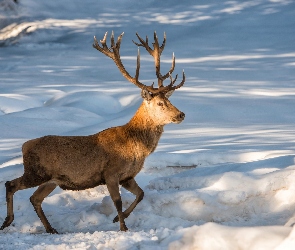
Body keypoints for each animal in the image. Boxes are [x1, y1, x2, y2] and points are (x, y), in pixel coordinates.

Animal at [0, 31, 185, 234]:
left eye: (169, 101)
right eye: (160, 103)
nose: (181, 114)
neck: (135, 146)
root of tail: (24, 146)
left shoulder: (127, 177)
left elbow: (141, 194)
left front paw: (117, 219)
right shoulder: (111, 173)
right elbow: (118, 202)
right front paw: (123, 227)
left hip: (51, 180)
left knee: (35, 198)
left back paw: (50, 228)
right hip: (36, 172)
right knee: (11, 184)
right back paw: (8, 221)